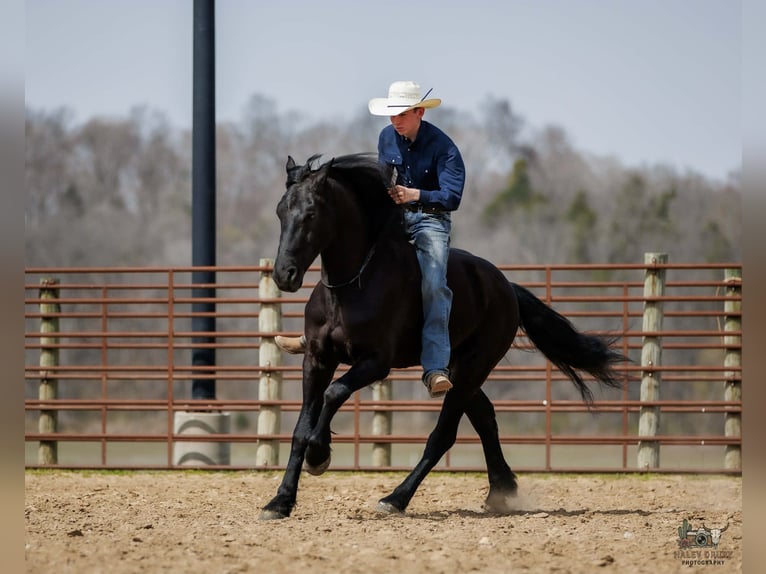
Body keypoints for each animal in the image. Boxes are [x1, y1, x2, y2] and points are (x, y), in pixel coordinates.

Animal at [260, 153, 626, 520]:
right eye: (279, 211)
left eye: (310, 213)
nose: (284, 274)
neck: (352, 286)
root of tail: (506, 288)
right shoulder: (317, 359)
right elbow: (301, 428)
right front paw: (280, 501)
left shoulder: (375, 362)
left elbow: (334, 393)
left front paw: (319, 455)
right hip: (459, 370)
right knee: (484, 417)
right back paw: (501, 490)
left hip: (473, 368)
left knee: (444, 434)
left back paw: (395, 499)